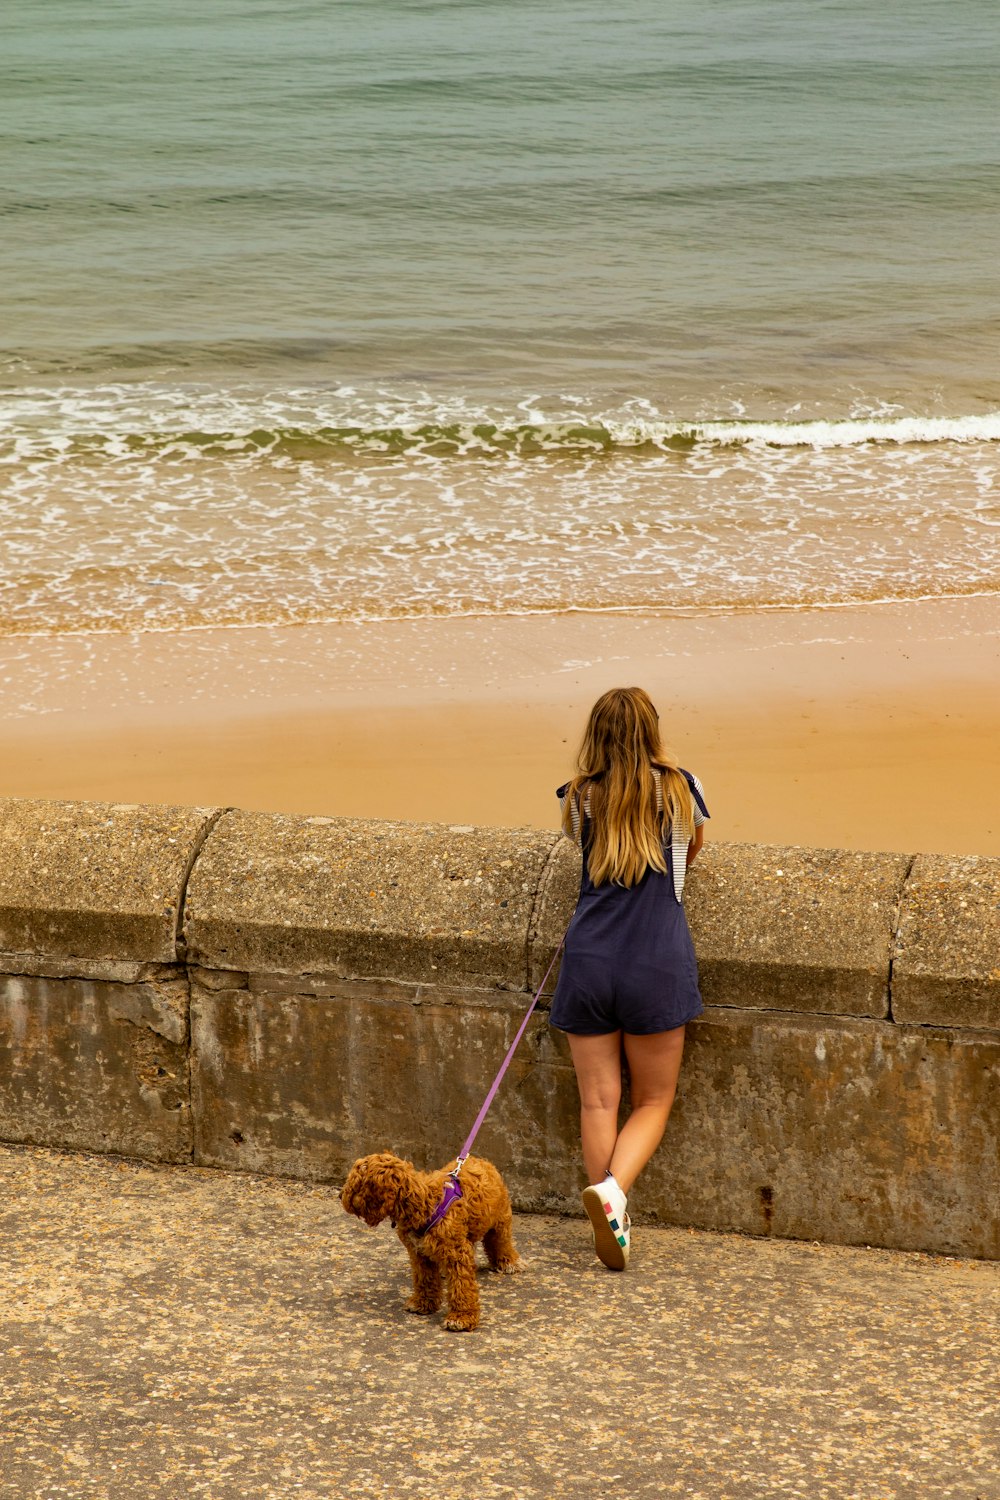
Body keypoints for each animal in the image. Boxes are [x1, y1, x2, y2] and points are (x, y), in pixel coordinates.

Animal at [340, 1152, 521, 1332]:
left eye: (355, 1184)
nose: (340, 1195)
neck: (423, 1203)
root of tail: (481, 1160)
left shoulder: (456, 1254)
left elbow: (462, 1284)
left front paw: (461, 1317)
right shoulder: (419, 1254)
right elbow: (425, 1278)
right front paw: (423, 1303)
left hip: (500, 1220)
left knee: (500, 1241)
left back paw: (508, 1262)